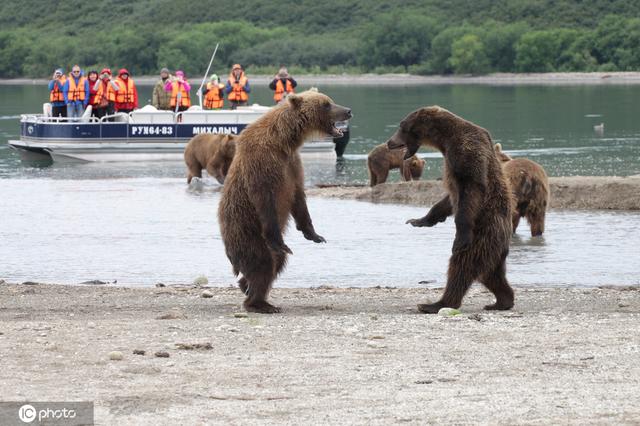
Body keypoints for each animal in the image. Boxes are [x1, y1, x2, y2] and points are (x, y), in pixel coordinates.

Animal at [218, 90, 352, 313]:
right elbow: (265, 199)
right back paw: (259, 303)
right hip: (247, 233)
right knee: (263, 262)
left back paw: (247, 286)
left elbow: (298, 197)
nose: (348, 110)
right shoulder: (263, 163)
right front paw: (283, 242)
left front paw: (315, 235)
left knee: (276, 263)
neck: (284, 140)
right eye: (326, 104)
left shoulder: (292, 164)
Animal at [387, 106, 514, 313]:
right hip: (495, 247)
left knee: (463, 264)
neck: (444, 140)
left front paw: (459, 235)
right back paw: (502, 301)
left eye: (402, 126)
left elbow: (470, 187)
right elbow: (448, 200)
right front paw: (419, 220)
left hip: (484, 231)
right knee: (490, 273)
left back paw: (436, 303)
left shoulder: (465, 151)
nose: (390, 142)